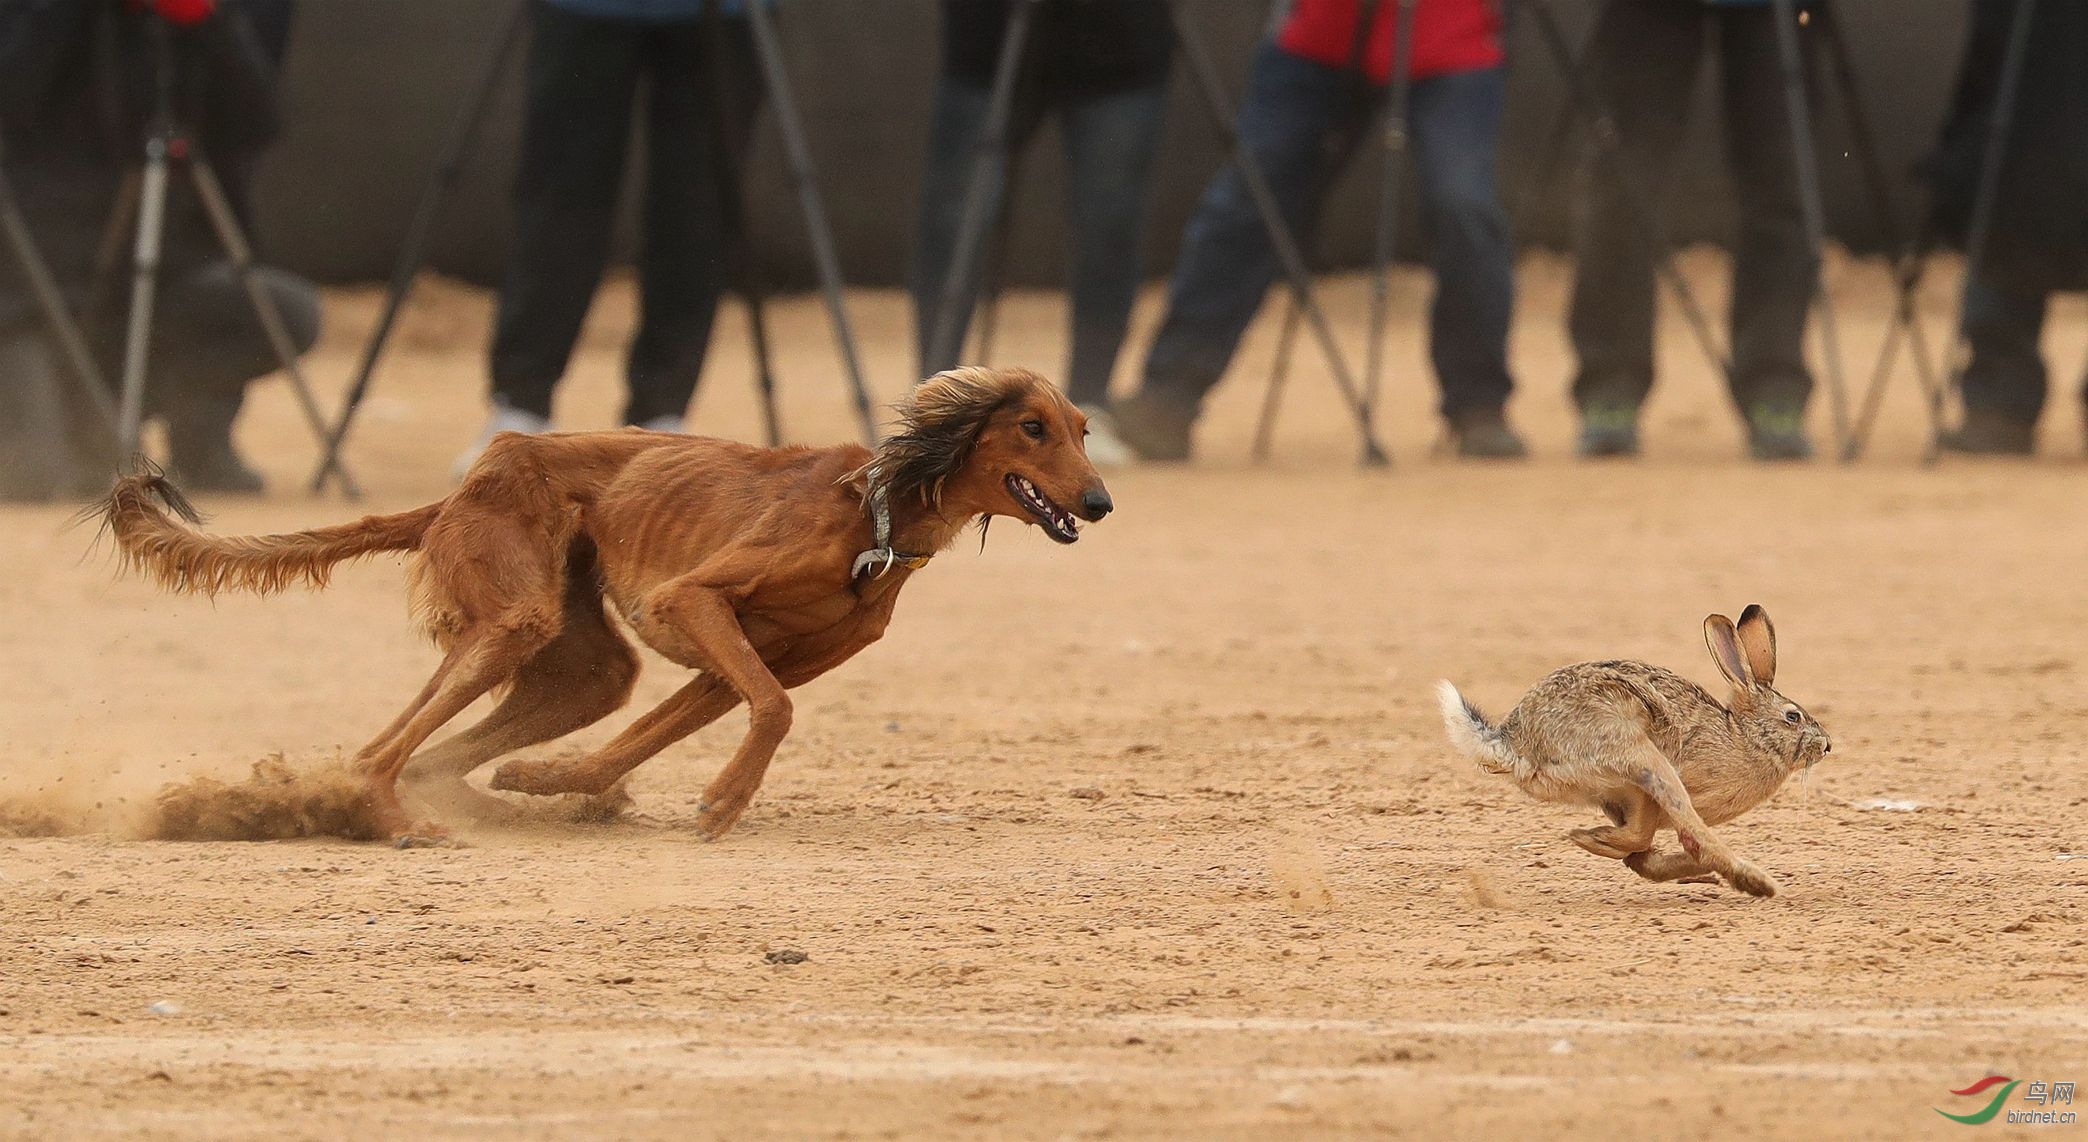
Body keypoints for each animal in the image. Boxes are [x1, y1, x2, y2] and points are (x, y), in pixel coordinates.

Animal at [98, 367, 1110, 839]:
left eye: (1083, 429)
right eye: (1031, 427)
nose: (1100, 503)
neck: (879, 513)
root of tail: (470, 482)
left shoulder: (736, 662)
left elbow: (662, 736)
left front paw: (556, 782)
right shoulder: (692, 601)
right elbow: (773, 712)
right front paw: (722, 800)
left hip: (583, 665)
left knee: (439, 752)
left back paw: (495, 803)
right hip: (516, 619)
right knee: (379, 754)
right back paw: (397, 821)